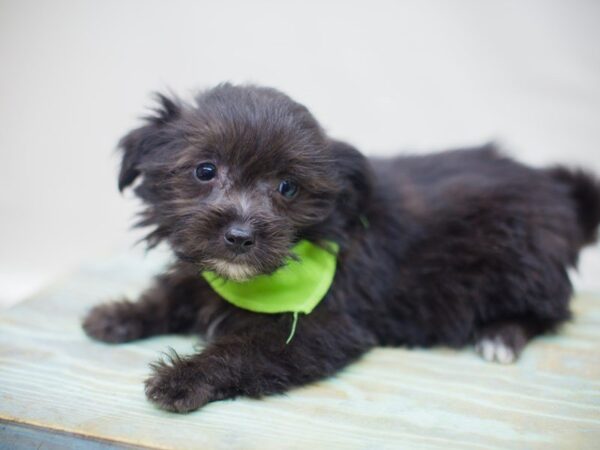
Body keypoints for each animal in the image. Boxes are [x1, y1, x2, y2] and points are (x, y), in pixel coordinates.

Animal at [83, 82, 600, 414]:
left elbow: (241, 350)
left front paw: (184, 379)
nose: (240, 236)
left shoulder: (322, 328)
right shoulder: (200, 277)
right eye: (205, 171)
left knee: (551, 310)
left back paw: (501, 336)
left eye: (288, 188)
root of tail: (561, 194)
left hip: (523, 258)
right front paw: (118, 315)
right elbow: (172, 292)